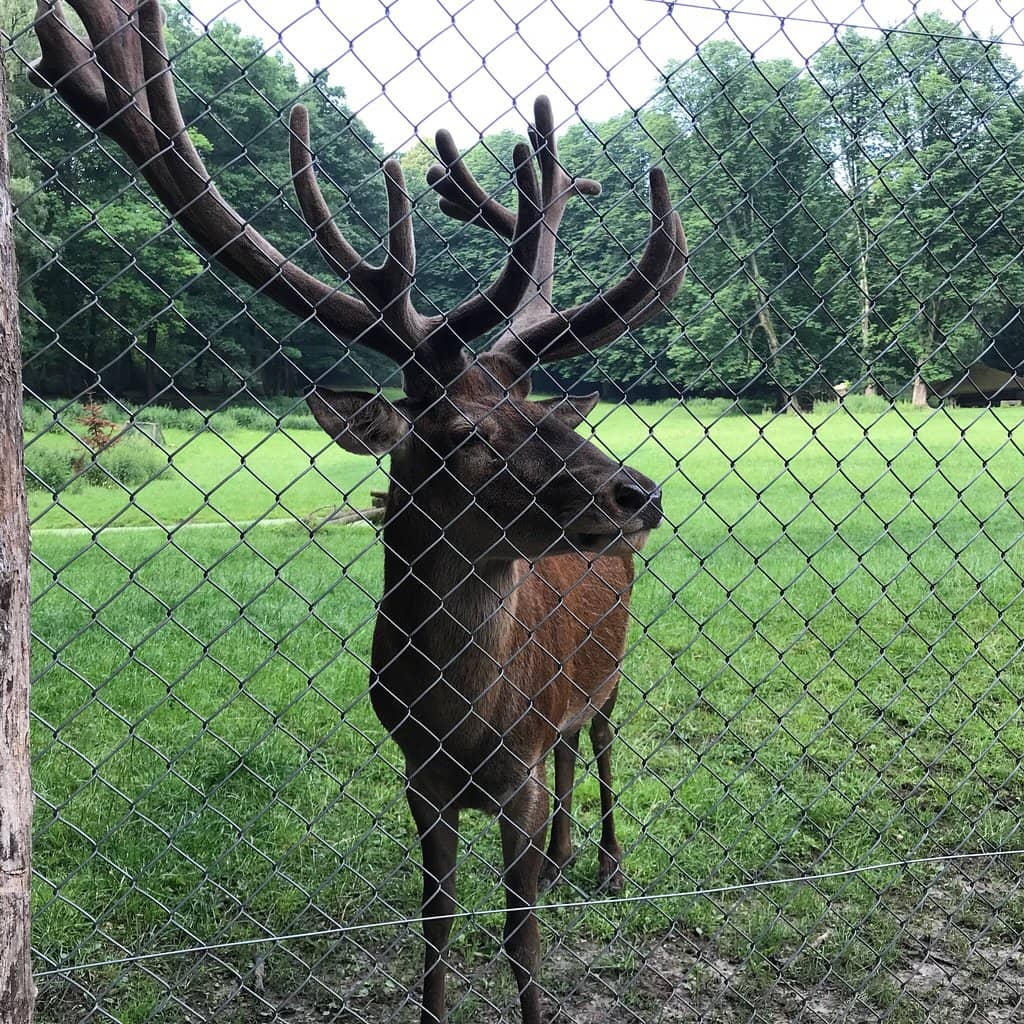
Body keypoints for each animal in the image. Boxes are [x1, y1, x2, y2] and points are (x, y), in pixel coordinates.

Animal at [30, 3, 687, 1021]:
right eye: (458, 431)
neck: (462, 725)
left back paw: (608, 863)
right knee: (577, 752)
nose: (639, 492)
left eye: (540, 411)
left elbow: (522, 938)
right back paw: (570, 855)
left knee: (605, 736)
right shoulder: (416, 774)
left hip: (615, 660)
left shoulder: (517, 769)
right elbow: (436, 929)